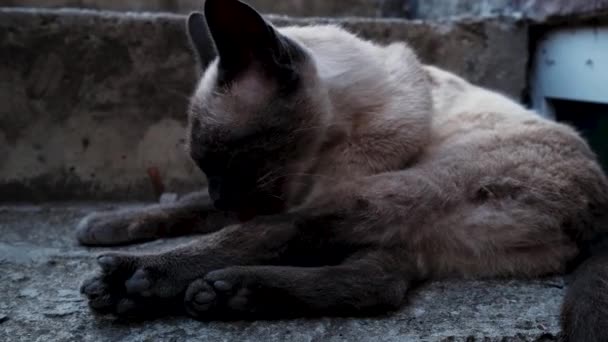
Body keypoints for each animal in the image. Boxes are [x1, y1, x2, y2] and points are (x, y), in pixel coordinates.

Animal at [79, 0, 608, 340]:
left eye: (228, 157)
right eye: (203, 163)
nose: (223, 198)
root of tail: (598, 215)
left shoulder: (292, 196)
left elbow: (241, 226)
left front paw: (129, 265)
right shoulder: (274, 193)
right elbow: (186, 204)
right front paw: (101, 225)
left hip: (383, 196)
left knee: (289, 241)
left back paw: (147, 283)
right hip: (410, 232)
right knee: (379, 282)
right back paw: (227, 294)